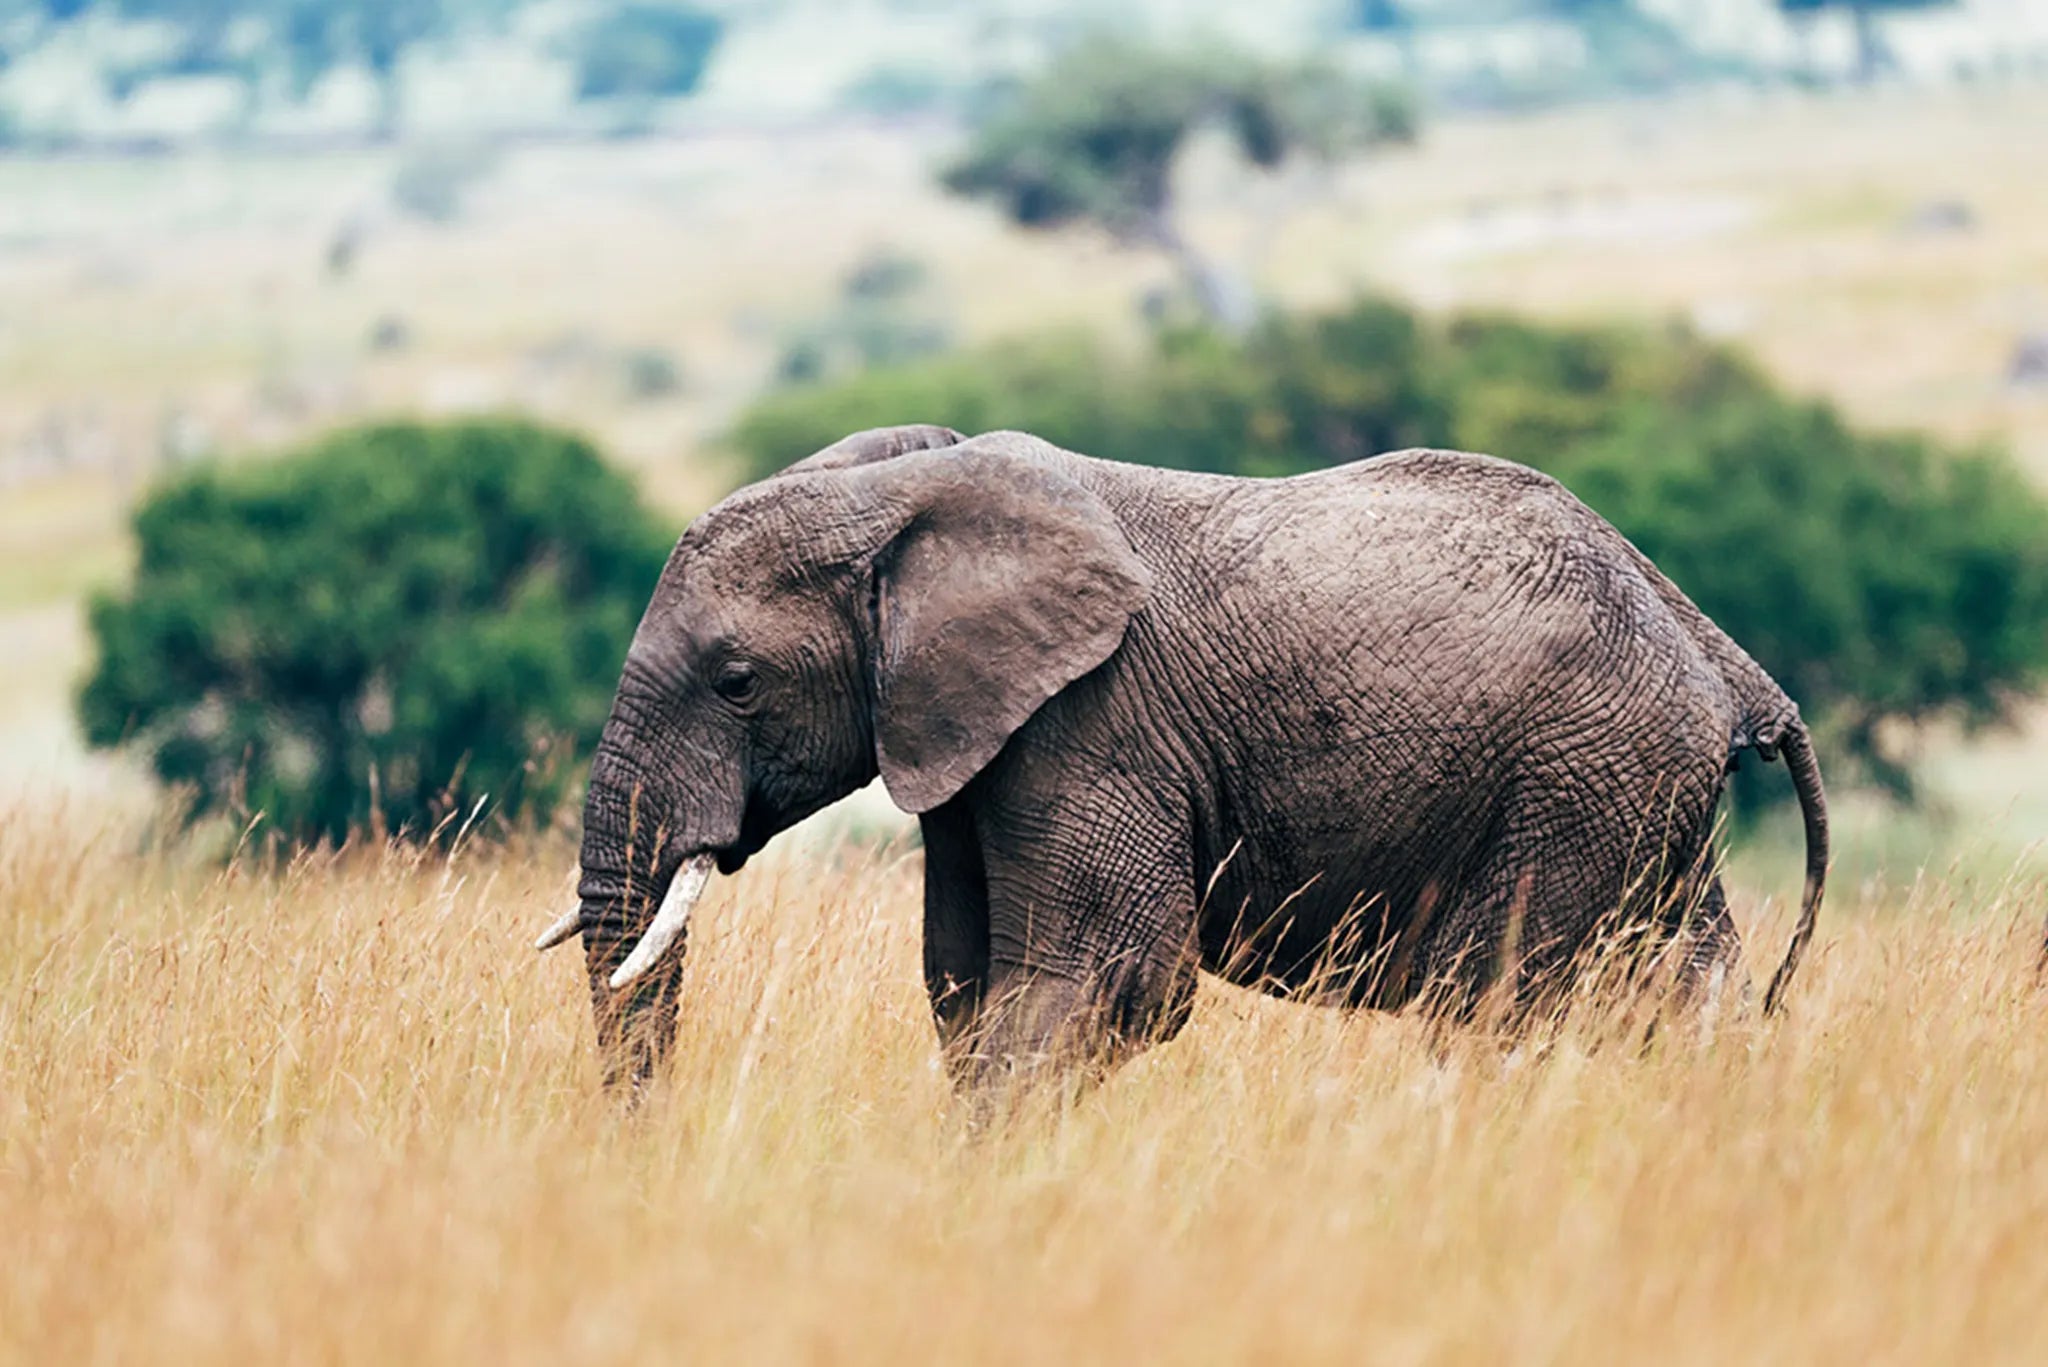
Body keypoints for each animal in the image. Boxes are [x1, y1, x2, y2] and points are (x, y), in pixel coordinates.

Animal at [535, 424, 1829, 1093]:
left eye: (737, 681)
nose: (645, 1154)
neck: (902, 488)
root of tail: (1714, 650)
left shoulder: (1093, 722)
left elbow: (1103, 978)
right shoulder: (972, 735)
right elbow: (963, 982)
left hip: (1580, 772)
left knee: (1500, 992)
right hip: (1634, 787)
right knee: (1676, 980)